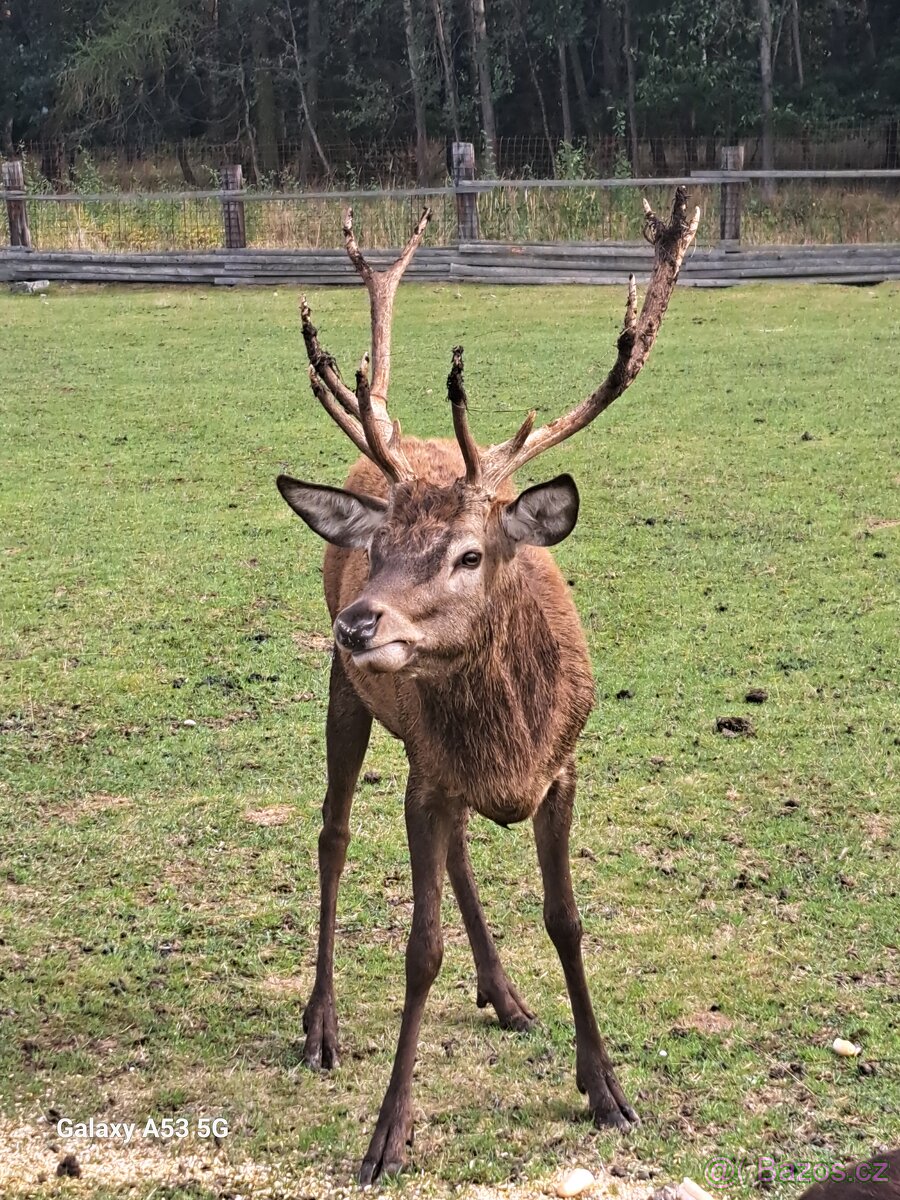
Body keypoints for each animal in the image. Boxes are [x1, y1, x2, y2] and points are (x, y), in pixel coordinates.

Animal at [278, 187, 700, 1180]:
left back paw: (504, 993)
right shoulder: (429, 777)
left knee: (461, 847)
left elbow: (568, 920)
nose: (359, 624)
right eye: (379, 550)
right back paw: (321, 1025)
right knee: (332, 833)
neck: (514, 736)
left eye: (470, 554)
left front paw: (606, 1088)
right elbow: (417, 949)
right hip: (350, 702)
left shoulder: (563, 769)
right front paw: (388, 1132)